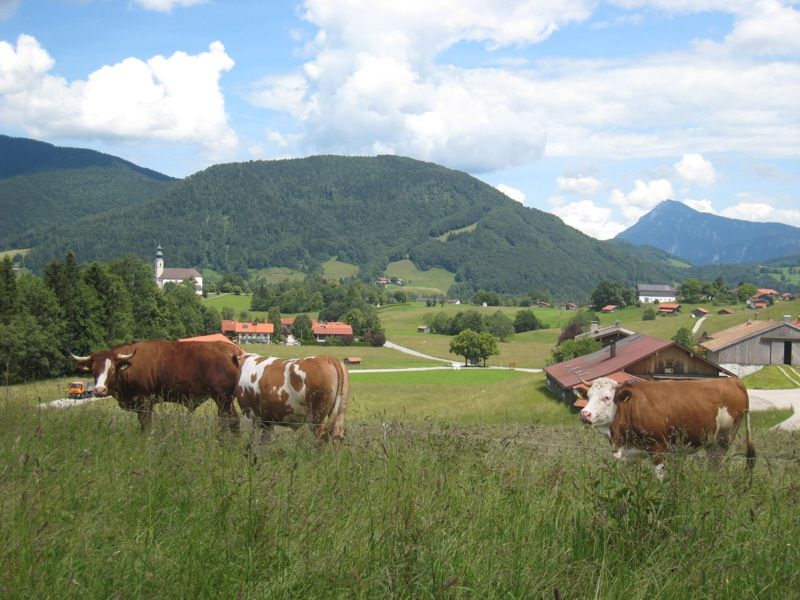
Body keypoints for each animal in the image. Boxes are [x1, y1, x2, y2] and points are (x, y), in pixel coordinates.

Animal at [73, 338, 245, 432]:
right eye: (93, 370)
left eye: (112, 369)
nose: (99, 390)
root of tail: (232, 350)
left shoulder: (144, 400)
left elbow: (146, 424)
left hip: (222, 399)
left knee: (229, 421)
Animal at [580, 378, 752, 480]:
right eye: (588, 396)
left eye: (606, 398)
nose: (584, 414)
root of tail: (732, 379)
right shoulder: (629, 454)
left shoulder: (658, 449)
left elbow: (659, 479)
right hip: (711, 443)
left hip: (724, 439)